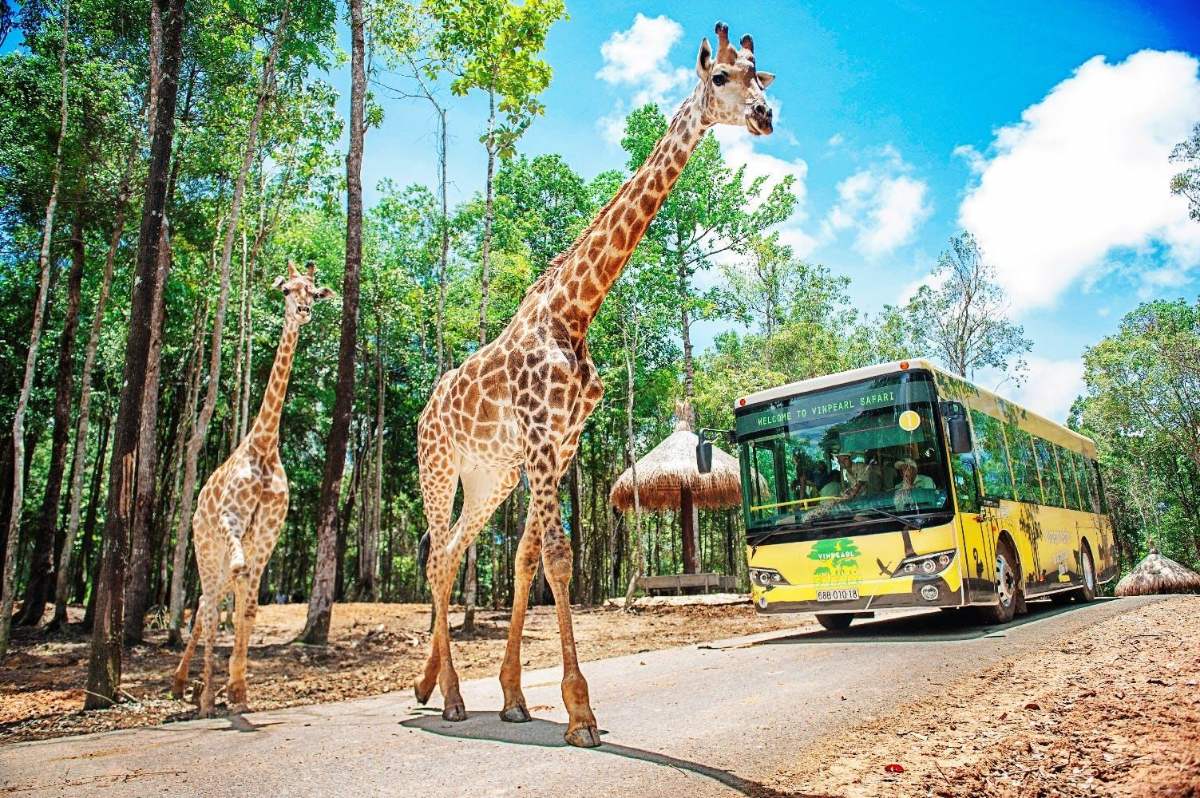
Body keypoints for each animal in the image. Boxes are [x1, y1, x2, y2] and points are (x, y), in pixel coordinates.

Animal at [171, 261, 335, 717]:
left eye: (313, 291)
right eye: (286, 290)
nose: (303, 312)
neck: (263, 446)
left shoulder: (267, 533)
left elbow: (248, 609)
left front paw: (240, 691)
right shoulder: (232, 520)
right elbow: (231, 593)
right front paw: (217, 693)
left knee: (212, 602)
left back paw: (193, 686)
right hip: (203, 545)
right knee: (207, 605)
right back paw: (197, 693)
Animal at [415, 21, 775, 748]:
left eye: (762, 73)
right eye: (721, 77)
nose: (765, 116)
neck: (574, 311)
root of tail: (422, 413)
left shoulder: (558, 444)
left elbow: (527, 558)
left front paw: (516, 697)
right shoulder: (540, 435)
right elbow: (558, 556)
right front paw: (580, 712)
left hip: (489, 477)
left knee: (454, 553)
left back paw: (433, 689)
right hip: (438, 468)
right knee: (437, 556)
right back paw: (451, 699)